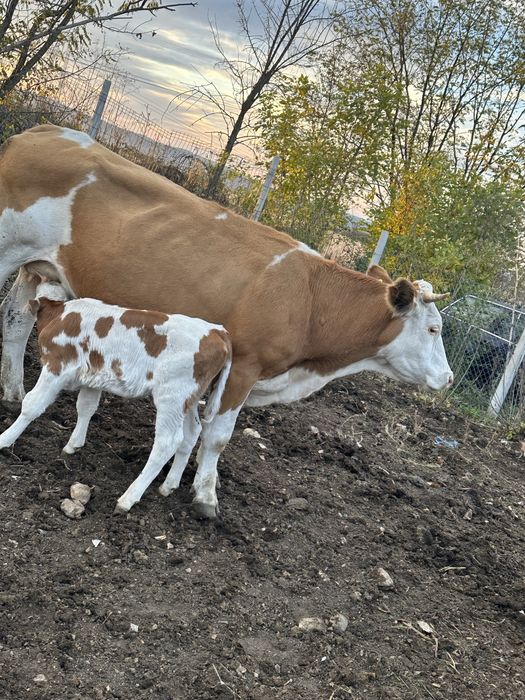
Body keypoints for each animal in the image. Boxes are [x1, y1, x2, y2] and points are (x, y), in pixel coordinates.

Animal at [0, 278, 232, 513]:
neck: (61, 314)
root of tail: (217, 331)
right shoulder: (93, 376)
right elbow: (86, 407)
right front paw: (73, 444)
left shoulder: (56, 365)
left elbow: (31, 405)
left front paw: (5, 440)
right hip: (188, 400)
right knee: (192, 433)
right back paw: (169, 485)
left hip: (172, 397)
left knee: (167, 442)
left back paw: (129, 498)